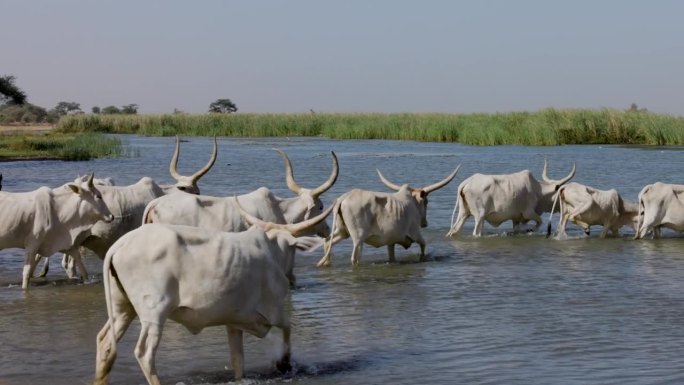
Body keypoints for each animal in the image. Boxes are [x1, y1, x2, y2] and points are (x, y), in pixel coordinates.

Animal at [93, 196, 334, 382]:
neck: (274, 250)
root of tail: (120, 244)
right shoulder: (272, 310)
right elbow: (287, 328)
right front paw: (284, 363)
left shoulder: (235, 320)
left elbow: (238, 361)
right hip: (154, 312)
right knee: (145, 354)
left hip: (123, 308)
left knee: (105, 343)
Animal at [316, 166, 460, 266]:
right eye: (426, 202)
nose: (425, 223)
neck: (412, 202)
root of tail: (343, 198)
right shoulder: (415, 233)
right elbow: (423, 245)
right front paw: (422, 258)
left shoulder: (391, 241)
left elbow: (392, 257)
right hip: (358, 237)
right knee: (355, 257)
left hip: (342, 231)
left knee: (327, 241)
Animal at [446, 160, 576, 237]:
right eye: (560, 193)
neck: (538, 191)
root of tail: (466, 183)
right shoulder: (528, 212)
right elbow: (539, 222)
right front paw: (530, 230)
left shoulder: (516, 218)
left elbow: (517, 229)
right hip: (479, 216)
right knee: (476, 233)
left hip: (464, 213)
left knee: (454, 230)